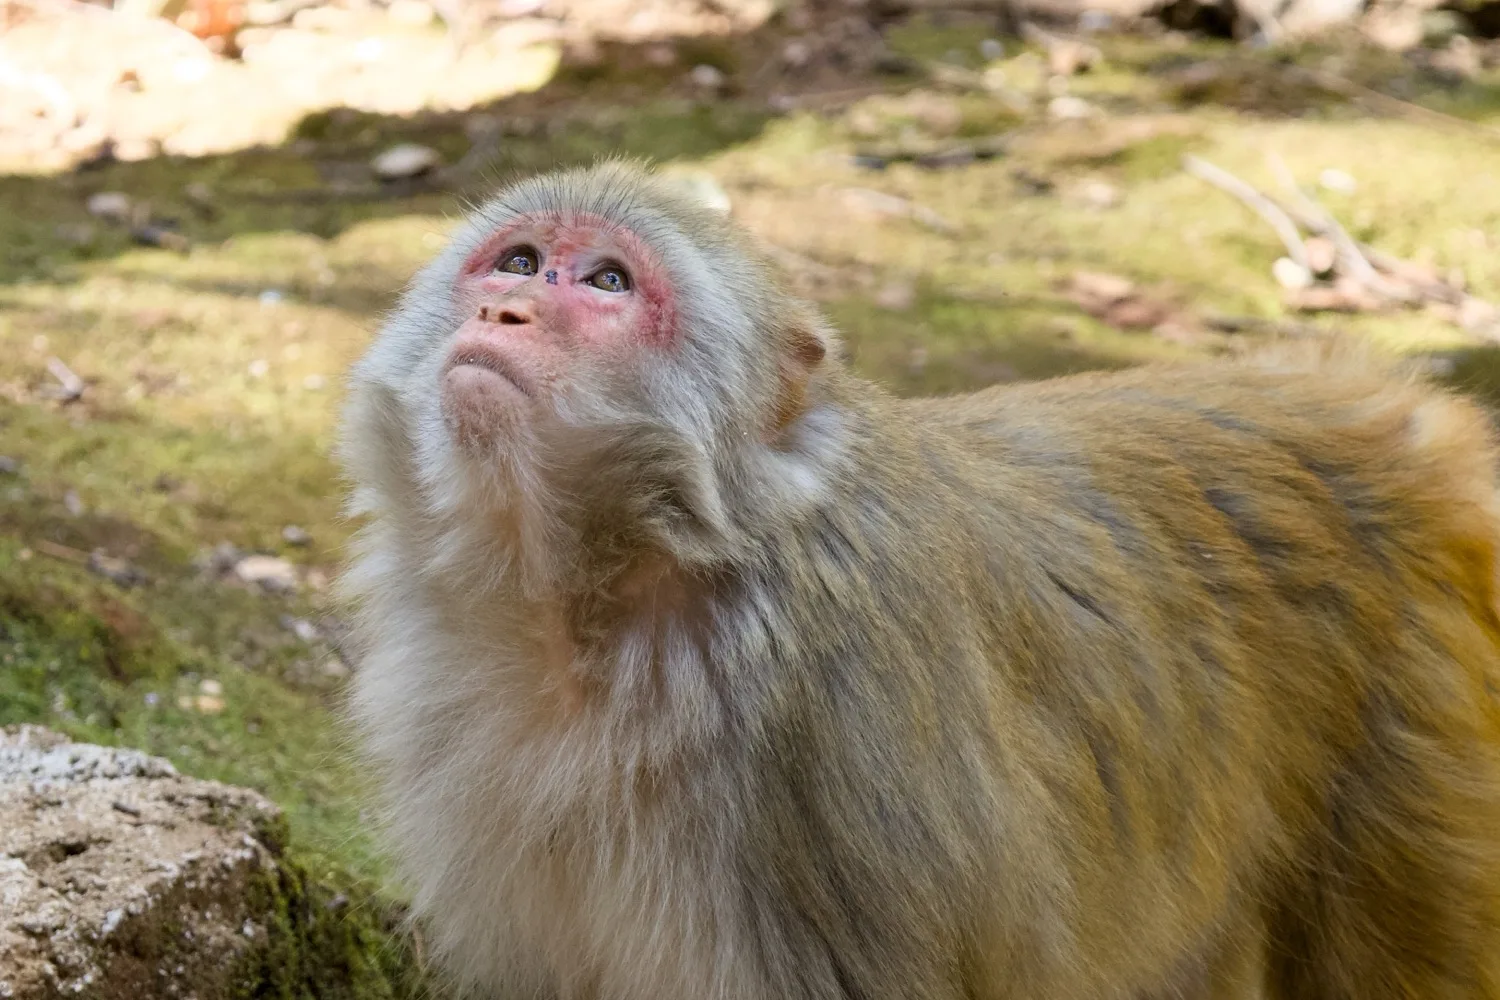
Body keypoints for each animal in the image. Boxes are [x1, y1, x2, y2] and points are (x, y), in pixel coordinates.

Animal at [336, 158, 1500, 1000]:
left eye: (608, 283)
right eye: (520, 260)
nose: (504, 315)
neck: (609, 593)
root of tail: (1426, 429)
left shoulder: (818, 749)